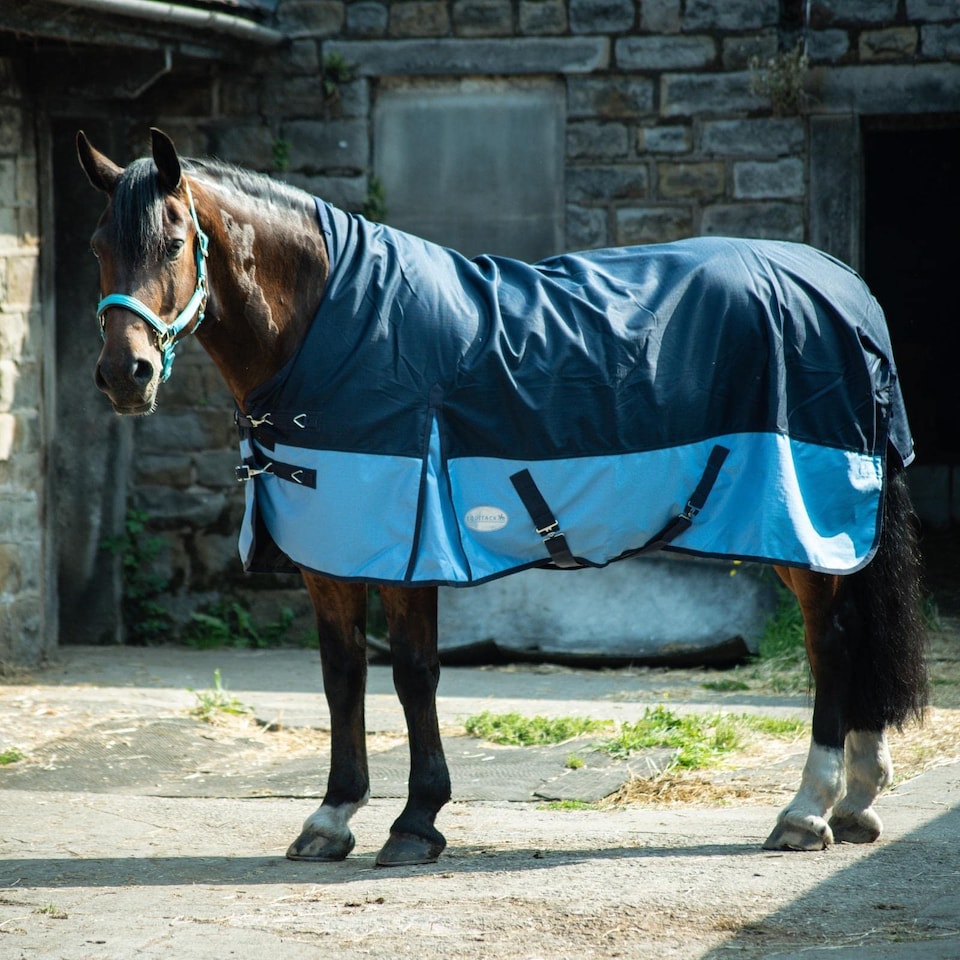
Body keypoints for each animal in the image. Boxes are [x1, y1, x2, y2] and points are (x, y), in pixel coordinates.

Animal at [77, 127, 928, 868]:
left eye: (175, 245)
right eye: (97, 248)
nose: (125, 376)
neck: (335, 331)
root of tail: (842, 288)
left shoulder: (411, 545)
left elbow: (413, 674)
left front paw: (416, 823)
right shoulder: (331, 551)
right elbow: (342, 675)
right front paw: (331, 817)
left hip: (801, 528)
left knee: (831, 641)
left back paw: (806, 811)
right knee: (850, 639)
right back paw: (856, 801)